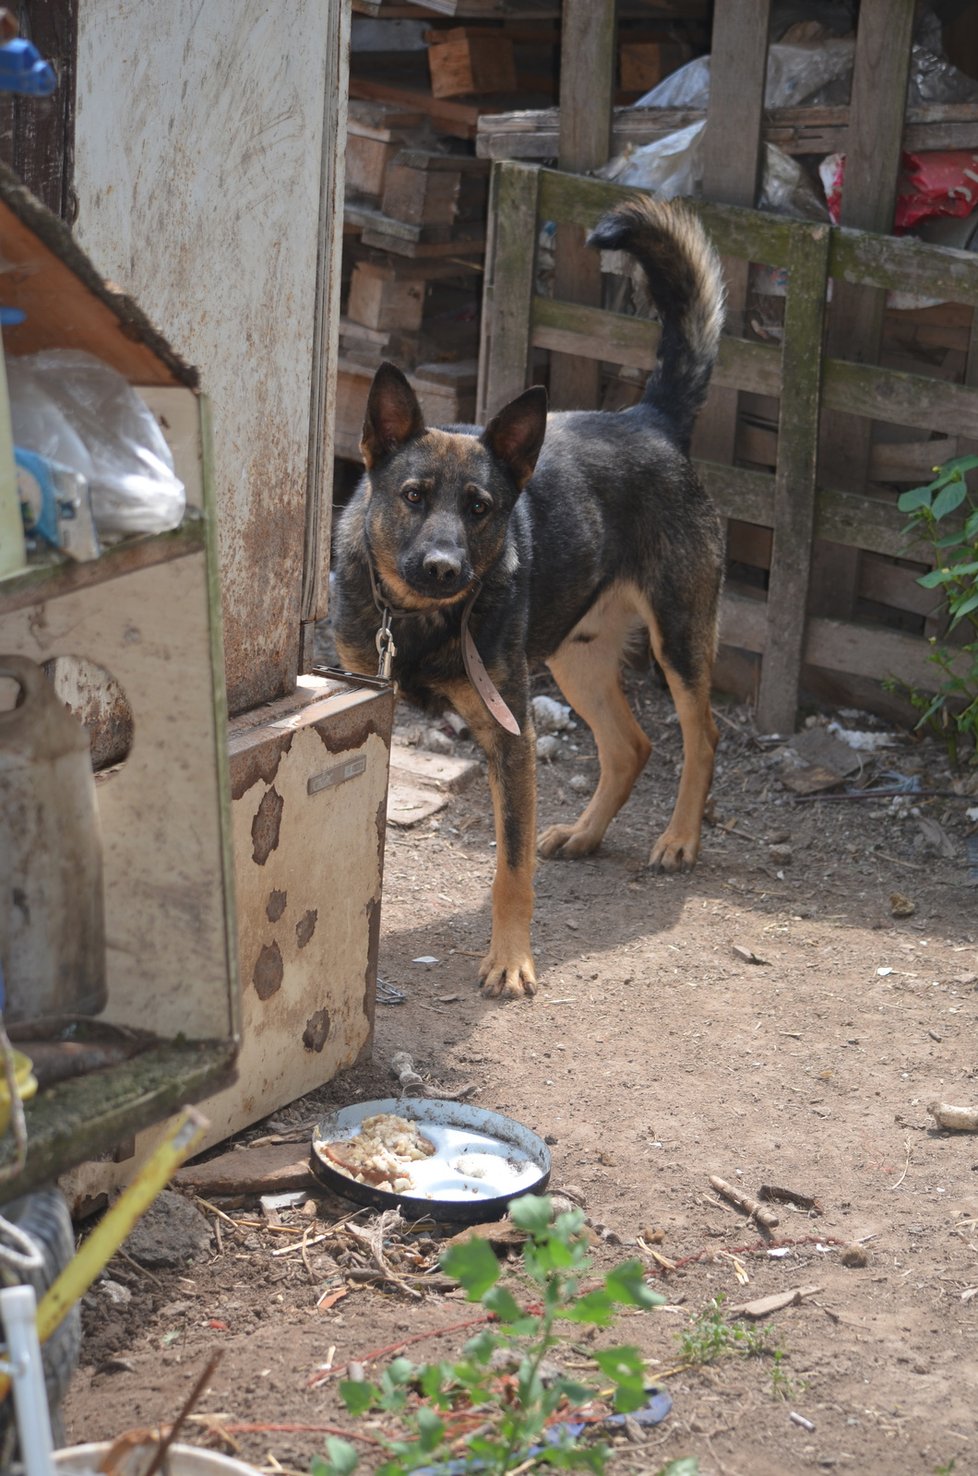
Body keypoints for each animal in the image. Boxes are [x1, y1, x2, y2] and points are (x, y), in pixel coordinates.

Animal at [334, 193, 725, 1003]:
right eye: (413, 496)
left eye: (481, 508)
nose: (444, 567)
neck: (424, 621)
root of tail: (650, 418)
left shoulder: (507, 739)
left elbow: (509, 869)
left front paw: (510, 960)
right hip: (577, 660)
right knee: (632, 745)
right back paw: (585, 833)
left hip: (678, 635)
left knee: (702, 734)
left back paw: (679, 838)